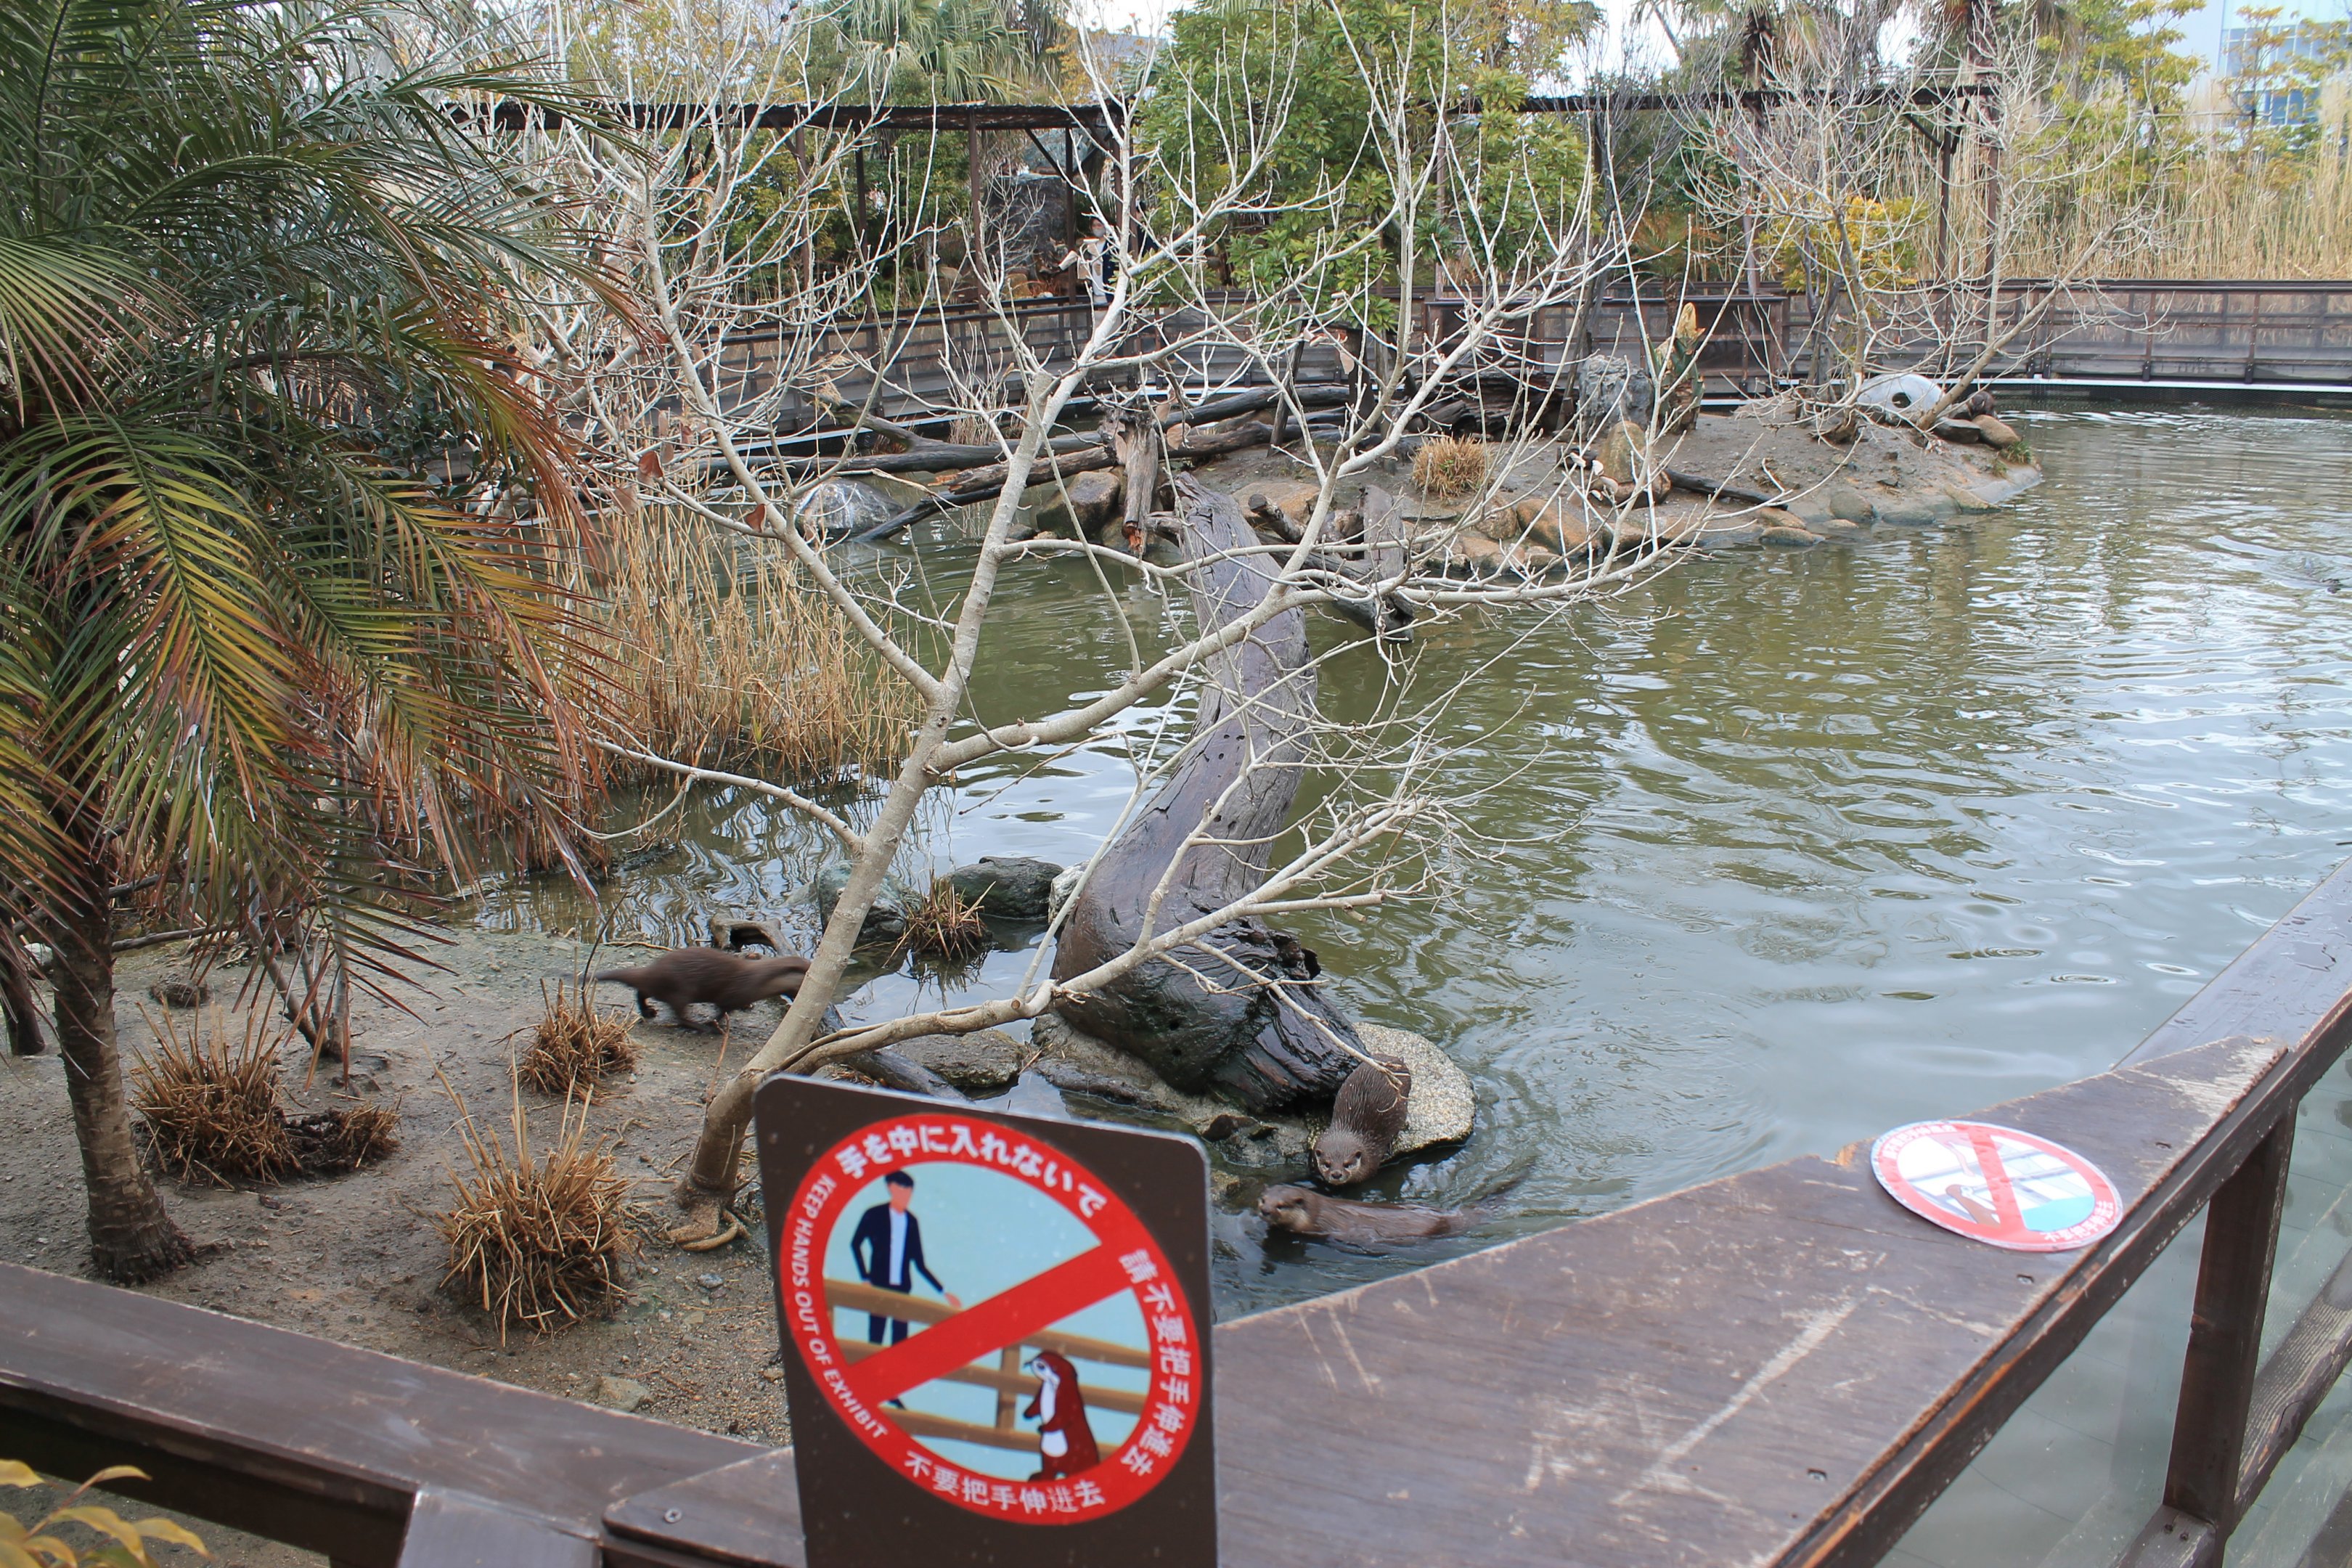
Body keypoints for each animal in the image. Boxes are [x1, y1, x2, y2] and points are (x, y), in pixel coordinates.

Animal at [595, 947, 809, 1031]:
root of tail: (654, 970)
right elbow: (722, 1010)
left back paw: (648, 1011)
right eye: (806, 973)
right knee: (680, 1016)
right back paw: (701, 1027)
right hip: (682, 990)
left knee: (641, 992)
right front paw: (711, 1023)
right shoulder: (732, 995)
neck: (756, 981)